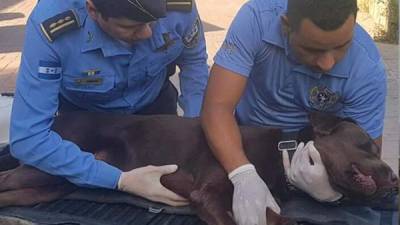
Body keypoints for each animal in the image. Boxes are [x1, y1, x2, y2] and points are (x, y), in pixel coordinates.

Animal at [0, 111, 396, 225]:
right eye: (366, 144)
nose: (395, 178)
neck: (283, 154)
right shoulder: (209, 195)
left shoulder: (262, 204)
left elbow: (282, 220)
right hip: (46, 168)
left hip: (51, 185)